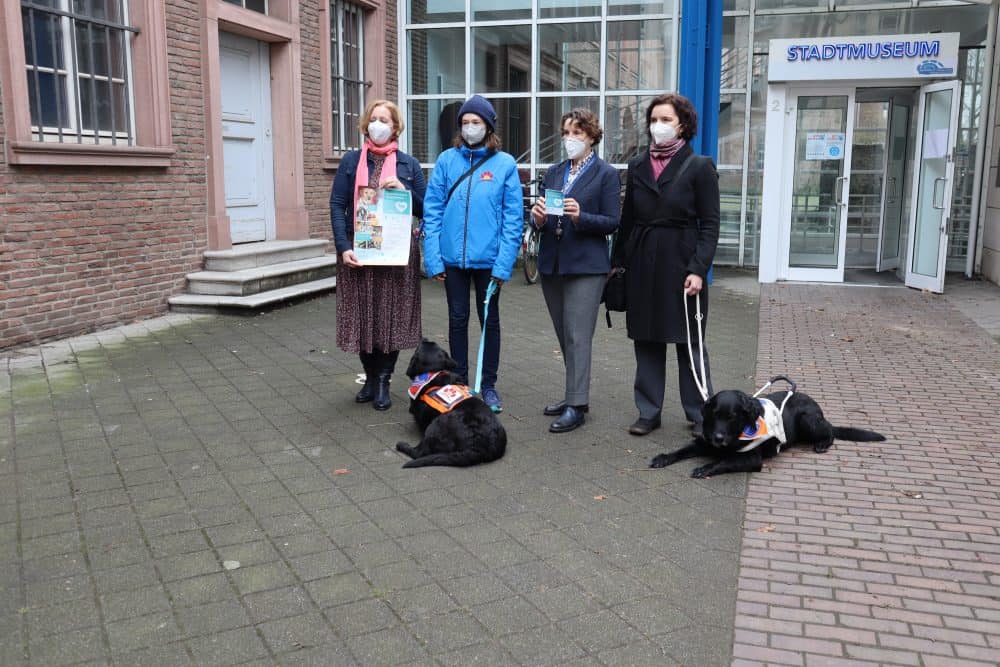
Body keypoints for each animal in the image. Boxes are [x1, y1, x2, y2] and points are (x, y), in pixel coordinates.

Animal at [652, 386, 888, 480]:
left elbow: (724, 461)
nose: (719, 438)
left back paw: (822, 444)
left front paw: (705, 468)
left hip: (807, 420)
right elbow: (681, 450)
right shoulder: (704, 442)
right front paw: (663, 458)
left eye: (732, 417)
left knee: (829, 429)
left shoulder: (752, 459)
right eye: (715, 414)